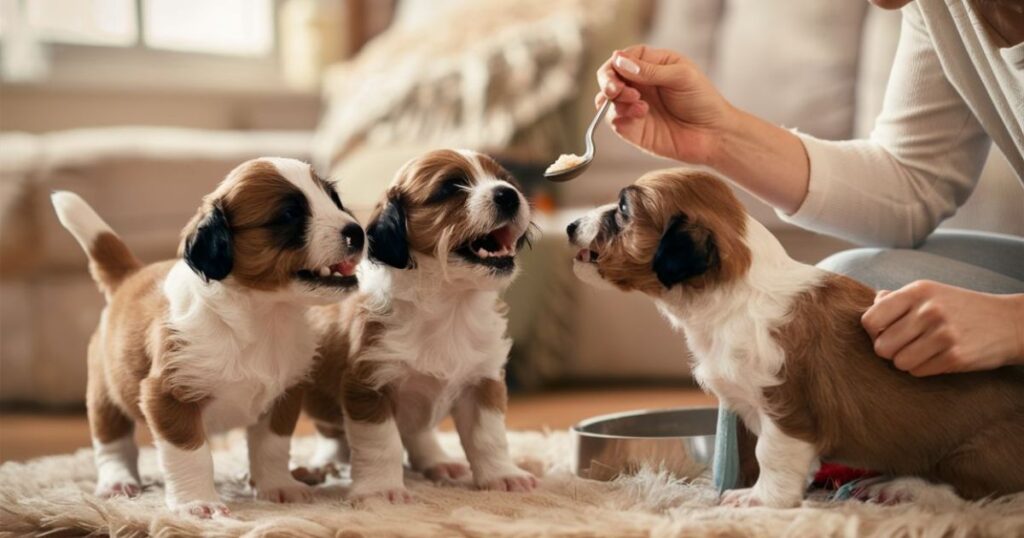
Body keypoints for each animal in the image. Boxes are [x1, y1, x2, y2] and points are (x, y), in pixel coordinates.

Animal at [51, 155, 366, 516]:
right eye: (289, 215)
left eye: (334, 199)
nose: (357, 232)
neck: (262, 318)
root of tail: (130, 275)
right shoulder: (168, 397)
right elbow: (191, 455)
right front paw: (197, 503)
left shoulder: (284, 395)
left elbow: (272, 446)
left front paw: (277, 486)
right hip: (105, 392)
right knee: (112, 442)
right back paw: (118, 481)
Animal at [299, 147, 540, 500]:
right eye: (450, 187)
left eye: (506, 181)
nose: (508, 195)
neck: (449, 306)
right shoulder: (368, 385)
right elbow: (382, 444)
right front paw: (383, 489)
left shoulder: (482, 382)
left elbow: (489, 437)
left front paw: (502, 475)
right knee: (334, 438)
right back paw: (323, 464)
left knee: (417, 433)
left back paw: (438, 462)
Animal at [565, 169, 1024, 508]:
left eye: (623, 209)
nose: (569, 225)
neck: (734, 294)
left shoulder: (786, 407)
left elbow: (770, 453)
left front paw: (761, 499)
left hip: (975, 454)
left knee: (969, 491)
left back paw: (902, 487)